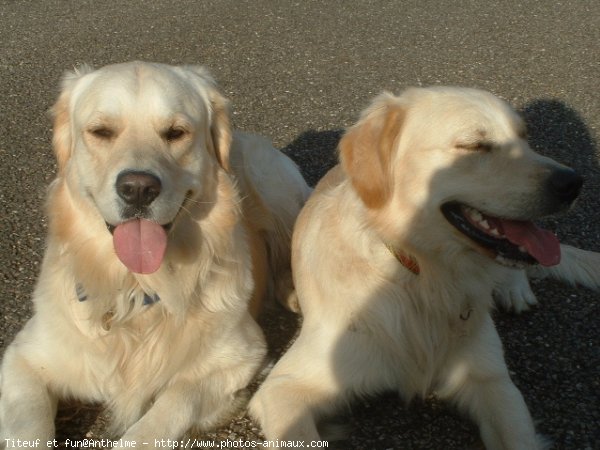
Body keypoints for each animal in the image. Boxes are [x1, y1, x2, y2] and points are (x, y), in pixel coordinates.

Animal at [0, 61, 310, 444]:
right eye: (101, 132)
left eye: (176, 133)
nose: (138, 188)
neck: (137, 288)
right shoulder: (23, 359)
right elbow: (27, 429)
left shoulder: (239, 356)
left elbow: (164, 412)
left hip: (276, 193)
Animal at [251, 86, 600, 448]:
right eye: (474, 146)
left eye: (524, 136)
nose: (573, 183)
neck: (420, 274)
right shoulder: (284, 388)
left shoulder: (491, 379)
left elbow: (518, 436)